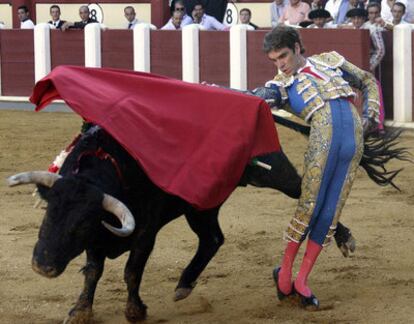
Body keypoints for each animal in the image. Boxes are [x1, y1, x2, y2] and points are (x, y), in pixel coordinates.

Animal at [7, 126, 352, 322]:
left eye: (81, 223)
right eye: (49, 212)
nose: (43, 266)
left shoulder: (144, 233)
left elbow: (132, 271)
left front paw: (135, 310)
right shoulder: (98, 240)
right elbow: (93, 271)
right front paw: (80, 310)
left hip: (273, 172)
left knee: (307, 192)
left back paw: (344, 237)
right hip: (202, 207)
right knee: (213, 238)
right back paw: (185, 283)